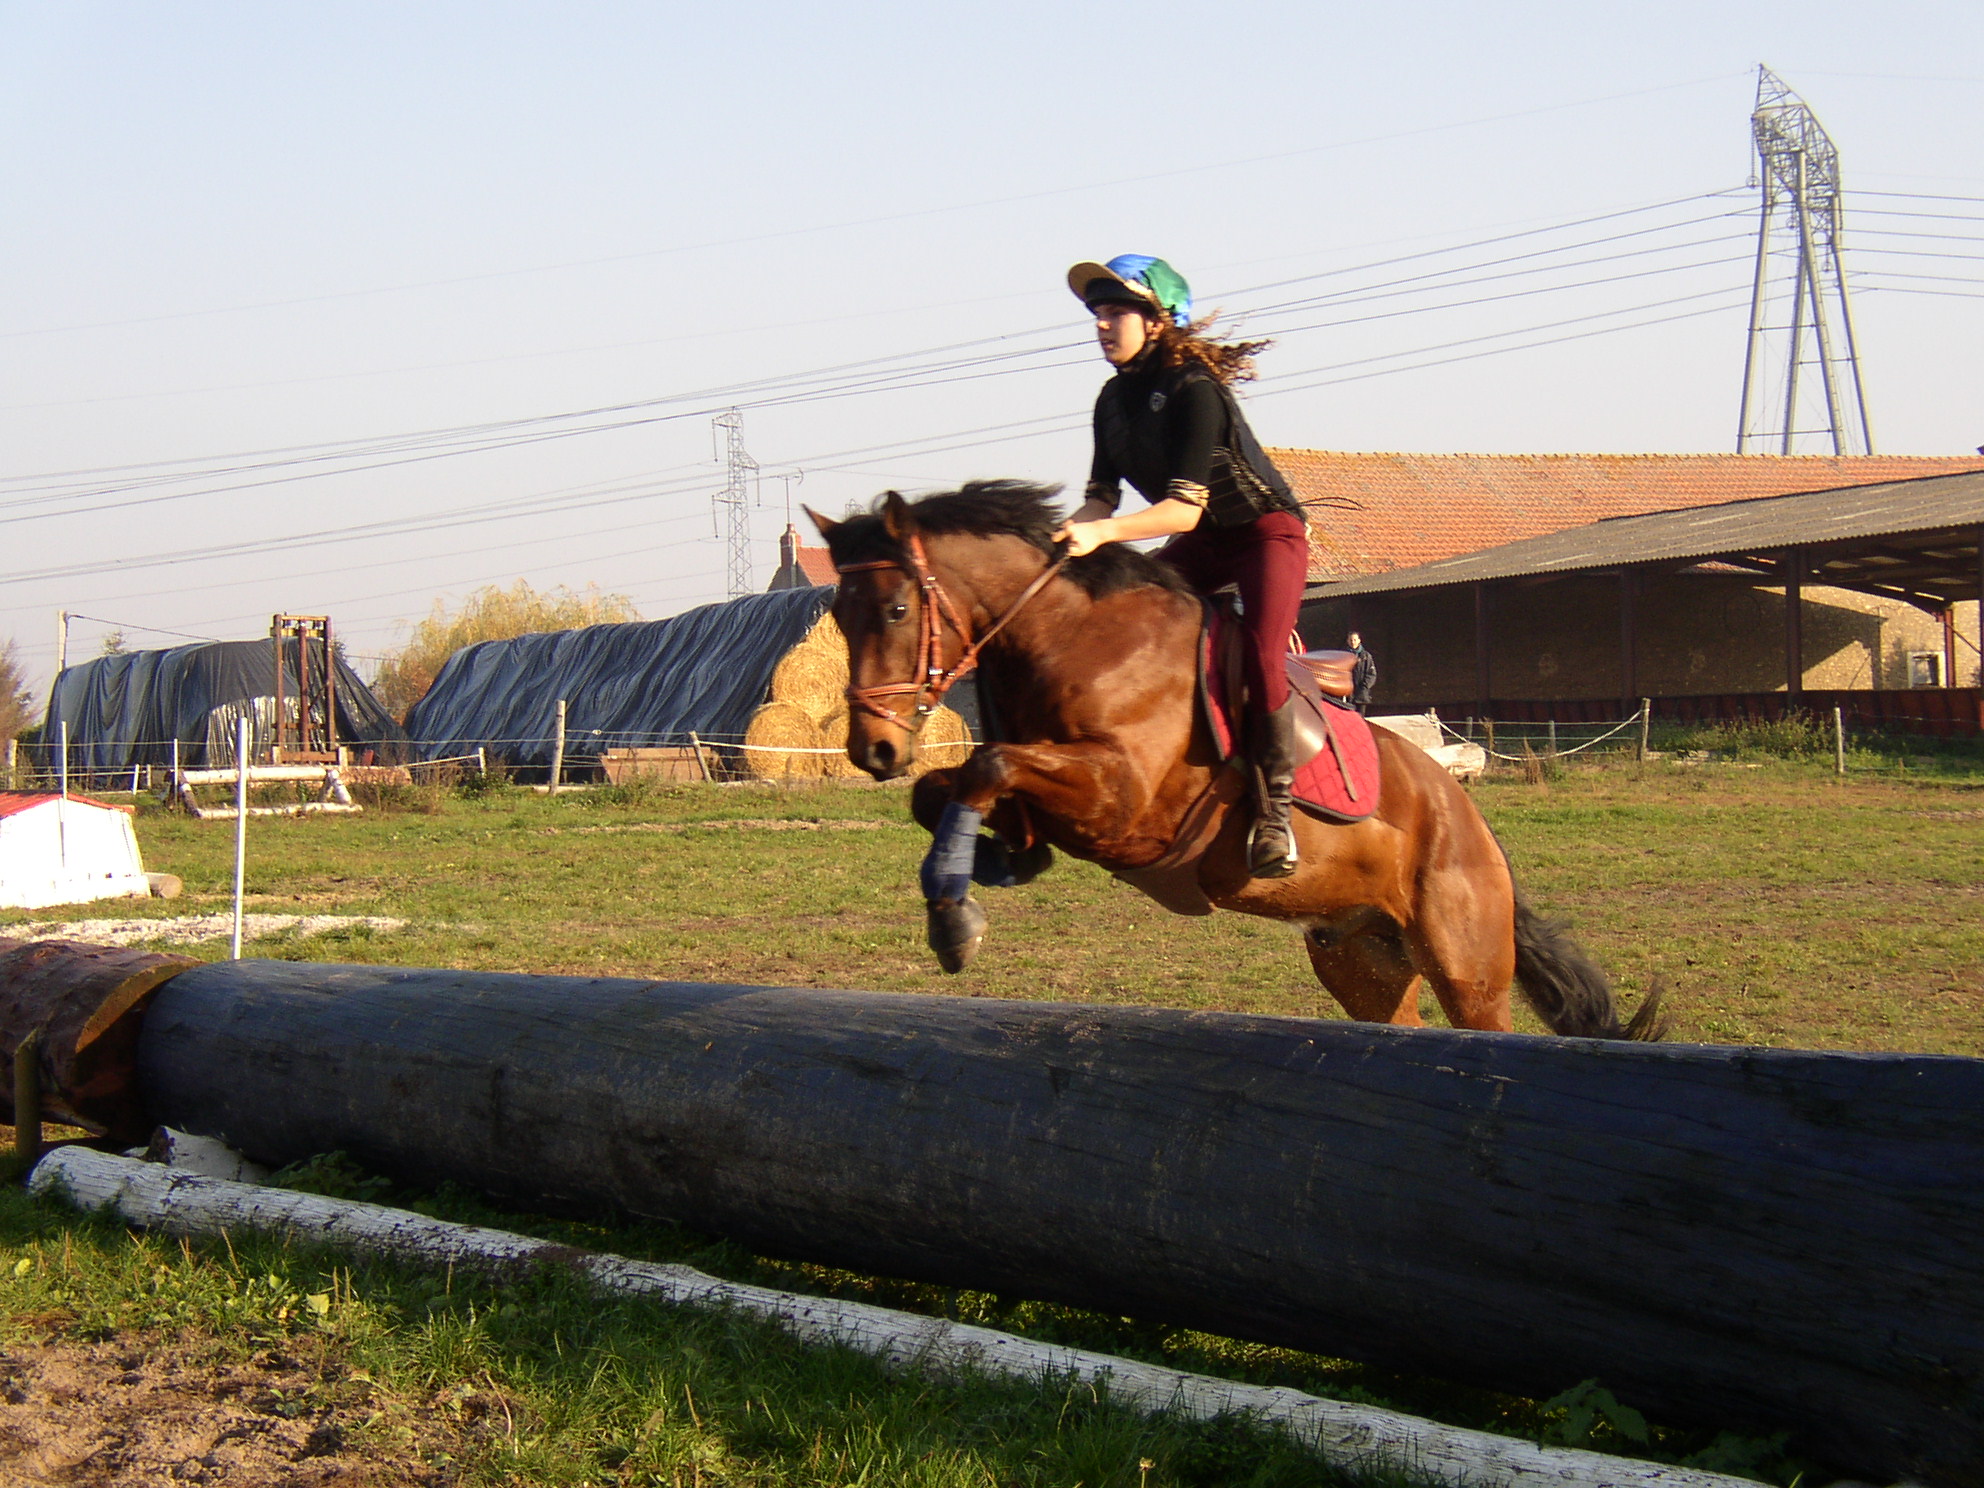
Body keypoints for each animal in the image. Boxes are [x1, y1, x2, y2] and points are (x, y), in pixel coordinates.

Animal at [809, 481, 1661, 1038]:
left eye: (896, 609)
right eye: (837, 618)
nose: (871, 749)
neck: (1064, 634)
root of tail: (1473, 826)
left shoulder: (1123, 802)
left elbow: (987, 765)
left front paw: (956, 923)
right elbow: (948, 789)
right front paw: (990, 867)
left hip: (1465, 959)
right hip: (1360, 957)